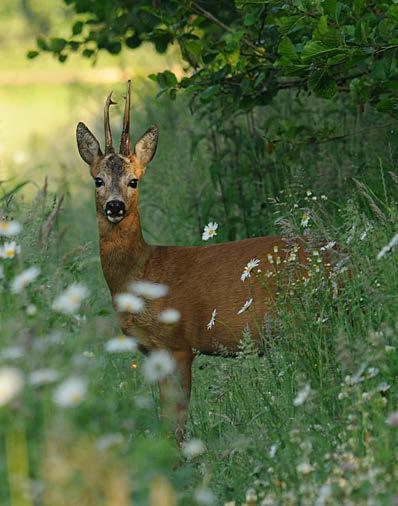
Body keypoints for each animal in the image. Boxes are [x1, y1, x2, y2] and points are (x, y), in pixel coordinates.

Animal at [77, 81, 320, 440]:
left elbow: (175, 424)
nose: (115, 206)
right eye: (98, 180)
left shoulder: (178, 343)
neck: (141, 272)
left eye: (134, 180)